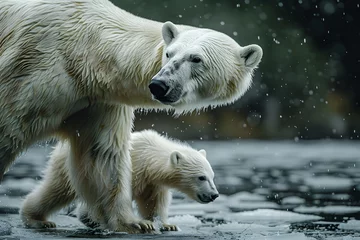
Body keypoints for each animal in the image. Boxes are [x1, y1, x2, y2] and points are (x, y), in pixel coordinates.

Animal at [21, 130, 218, 232]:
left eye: (212, 176)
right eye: (201, 177)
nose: (214, 195)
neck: (149, 157)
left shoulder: (153, 182)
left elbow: (154, 202)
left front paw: (167, 225)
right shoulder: (130, 170)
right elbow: (112, 198)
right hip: (69, 168)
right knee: (55, 190)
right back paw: (38, 220)